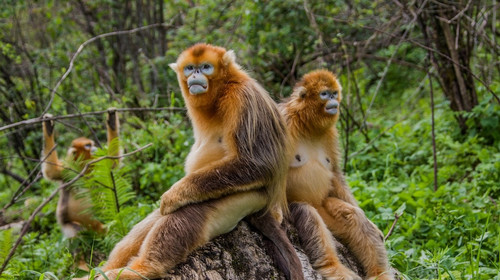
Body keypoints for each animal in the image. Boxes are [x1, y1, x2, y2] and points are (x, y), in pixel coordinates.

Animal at [41, 108, 120, 237]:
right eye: (88, 145)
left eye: (92, 144)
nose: (94, 148)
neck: (83, 168)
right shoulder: (66, 170)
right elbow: (51, 171)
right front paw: (48, 128)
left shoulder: (96, 164)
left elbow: (112, 160)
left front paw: (112, 120)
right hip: (70, 225)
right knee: (77, 232)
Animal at [280, 70, 392, 280]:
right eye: (324, 94)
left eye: (334, 93)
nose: (333, 101)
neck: (307, 124)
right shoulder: (282, 120)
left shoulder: (331, 134)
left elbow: (335, 173)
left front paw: (373, 225)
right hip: (295, 206)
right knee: (308, 214)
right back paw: (333, 267)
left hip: (325, 208)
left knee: (353, 215)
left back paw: (379, 273)